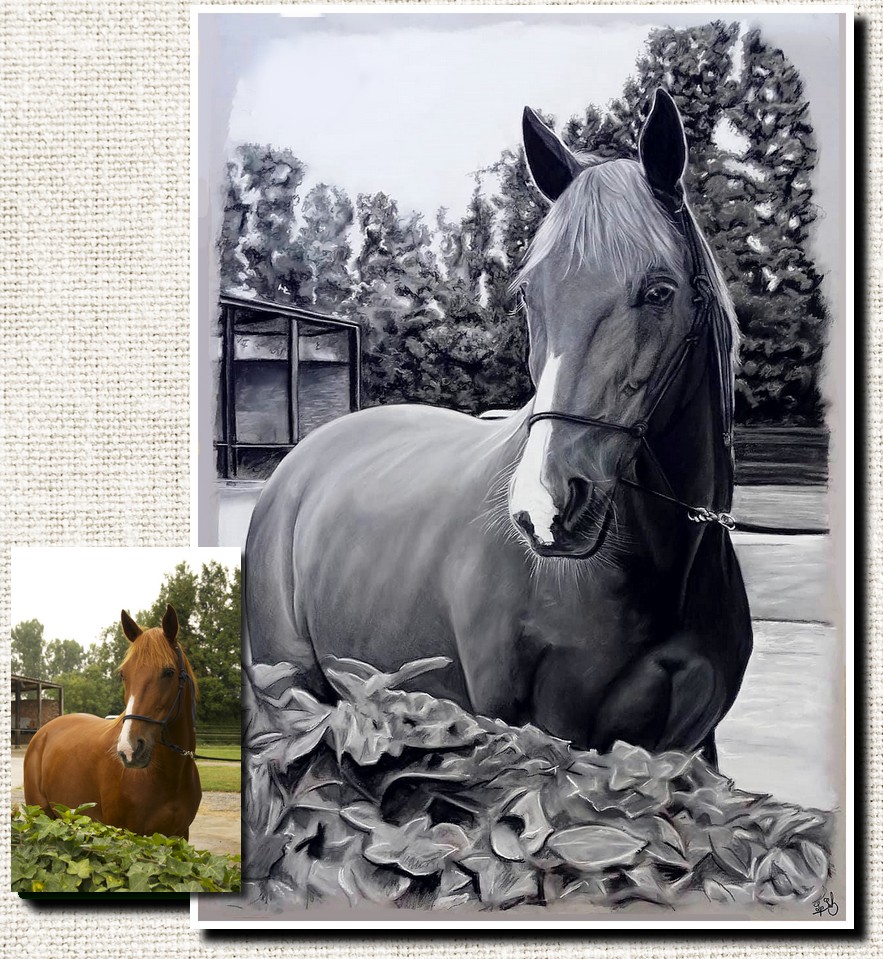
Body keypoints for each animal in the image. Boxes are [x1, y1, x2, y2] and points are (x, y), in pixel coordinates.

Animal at [23, 605, 202, 839]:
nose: (129, 750)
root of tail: (44, 731)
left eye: (169, 672)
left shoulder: (179, 835)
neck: (171, 777)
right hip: (40, 815)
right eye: (123, 674)